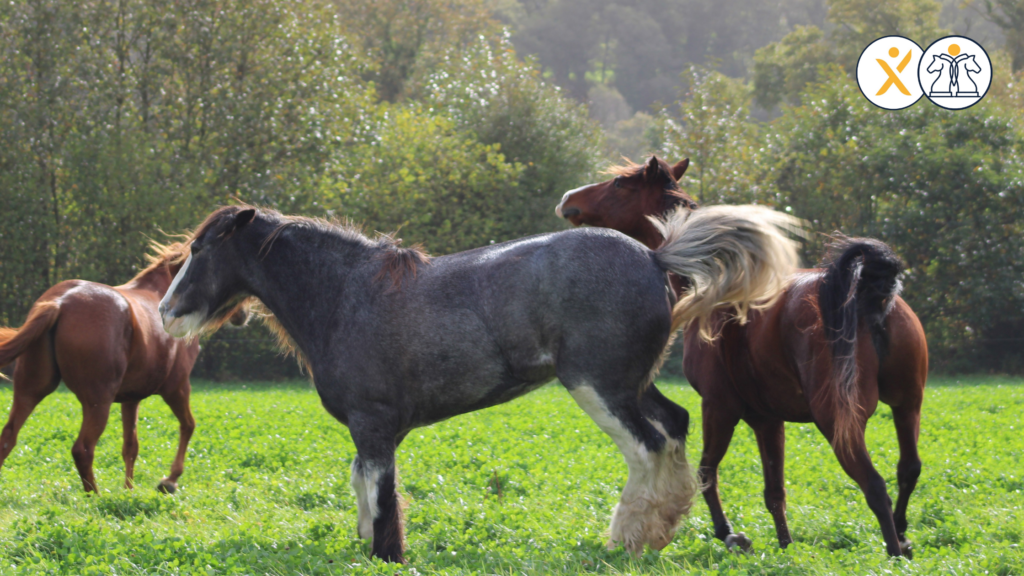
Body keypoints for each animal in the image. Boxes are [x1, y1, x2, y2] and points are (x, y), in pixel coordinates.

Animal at [0, 242, 249, 494]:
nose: (244, 315)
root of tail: (60, 302)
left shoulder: (131, 398)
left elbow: (130, 446)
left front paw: (128, 490)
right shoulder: (177, 387)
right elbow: (188, 426)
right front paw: (170, 480)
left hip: (31, 389)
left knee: (8, 437)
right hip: (98, 402)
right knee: (83, 449)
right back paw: (96, 496)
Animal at [158, 204, 803, 562]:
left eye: (200, 249)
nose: (166, 312)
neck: (347, 296)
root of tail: (655, 259)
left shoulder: (375, 425)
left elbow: (381, 496)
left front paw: (386, 554)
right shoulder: (370, 433)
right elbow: (362, 487)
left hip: (599, 387)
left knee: (648, 447)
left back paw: (626, 541)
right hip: (633, 385)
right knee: (675, 427)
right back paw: (661, 531)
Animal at [555, 155, 928, 557]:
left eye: (619, 185)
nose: (568, 199)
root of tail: (869, 292)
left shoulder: (719, 409)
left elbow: (707, 473)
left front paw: (728, 533)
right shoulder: (767, 420)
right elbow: (774, 491)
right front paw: (784, 546)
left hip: (839, 423)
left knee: (874, 484)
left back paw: (894, 551)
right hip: (907, 407)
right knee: (908, 469)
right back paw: (903, 535)